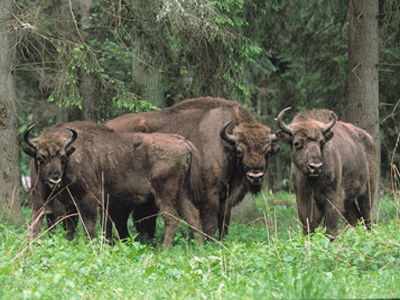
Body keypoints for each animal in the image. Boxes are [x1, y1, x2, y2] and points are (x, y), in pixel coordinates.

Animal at [23, 120, 203, 250]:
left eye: (62, 157)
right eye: (40, 157)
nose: (54, 180)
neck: (73, 155)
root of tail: (184, 142)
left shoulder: (87, 200)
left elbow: (89, 226)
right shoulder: (70, 204)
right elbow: (70, 228)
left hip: (165, 193)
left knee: (171, 217)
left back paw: (163, 250)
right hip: (180, 192)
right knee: (192, 215)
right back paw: (199, 247)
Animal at [105, 97, 282, 240]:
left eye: (267, 152)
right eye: (240, 150)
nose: (255, 176)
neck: (226, 145)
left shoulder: (226, 197)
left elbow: (224, 222)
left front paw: (222, 241)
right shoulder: (210, 194)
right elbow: (210, 223)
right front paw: (211, 242)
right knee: (118, 218)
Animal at [276, 108, 376, 237]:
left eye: (322, 142)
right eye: (297, 143)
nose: (315, 167)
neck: (312, 181)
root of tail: (369, 139)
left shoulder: (332, 197)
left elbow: (330, 226)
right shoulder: (302, 198)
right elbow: (309, 225)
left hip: (368, 190)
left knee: (367, 214)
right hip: (349, 200)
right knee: (355, 217)